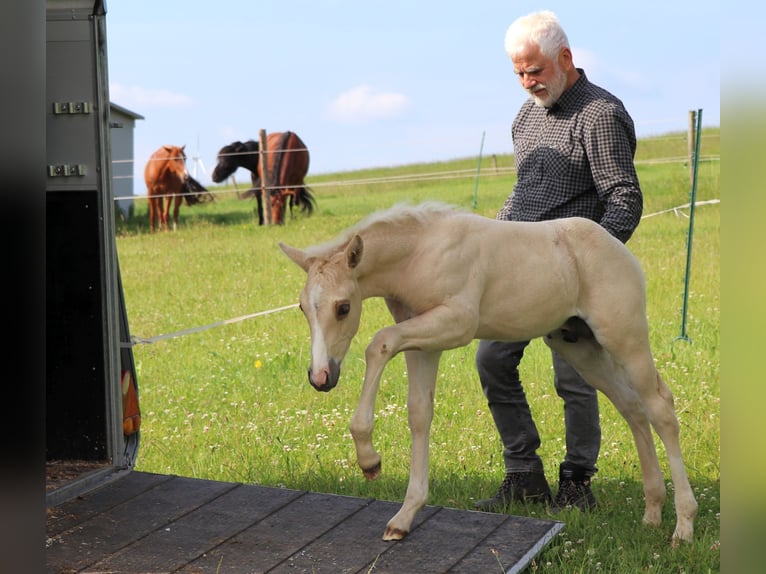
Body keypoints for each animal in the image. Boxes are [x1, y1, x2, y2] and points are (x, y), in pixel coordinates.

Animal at [280, 204, 700, 548]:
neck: (420, 251)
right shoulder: (422, 342)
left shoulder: (455, 324)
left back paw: (683, 525)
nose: (321, 377)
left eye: (343, 307)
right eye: (302, 307)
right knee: (633, 408)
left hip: (624, 339)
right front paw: (404, 516)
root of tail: (619, 249)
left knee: (660, 407)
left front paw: (369, 459)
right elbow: (419, 414)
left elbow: (377, 343)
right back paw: (652, 513)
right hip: (581, 347)